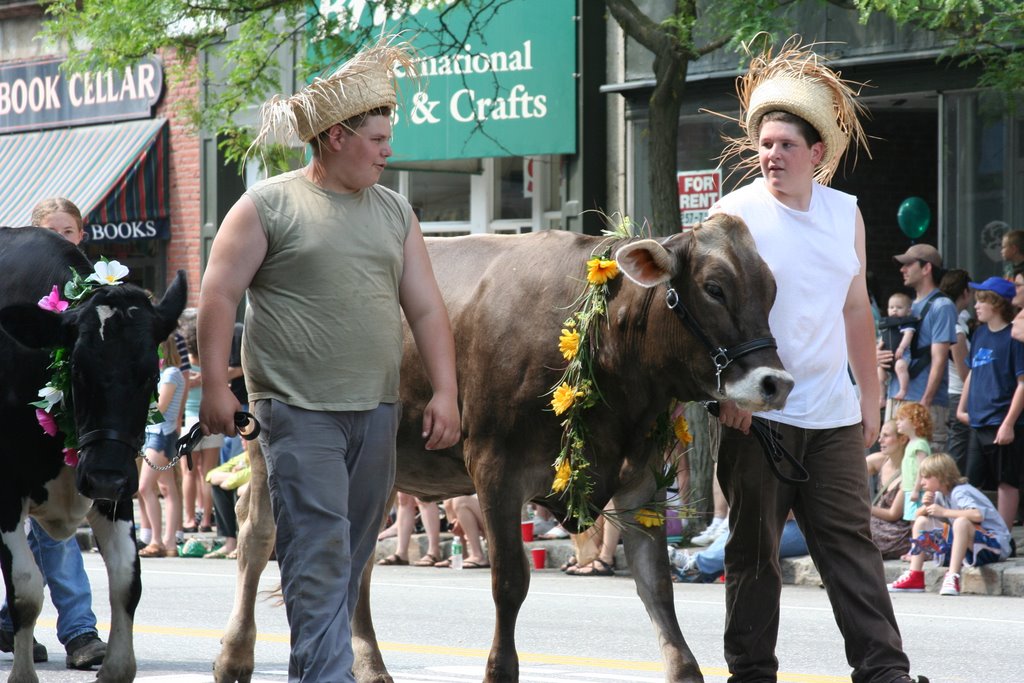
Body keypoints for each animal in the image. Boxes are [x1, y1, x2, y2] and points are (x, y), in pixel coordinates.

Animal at [0, 227, 186, 679]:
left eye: (150, 374)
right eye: (77, 369)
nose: (103, 478)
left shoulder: (118, 481)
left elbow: (126, 578)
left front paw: (115, 666)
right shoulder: (5, 489)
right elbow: (26, 588)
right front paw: (23, 673)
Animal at [211, 215, 794, 683]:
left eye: (771, 290)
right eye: (714, 288)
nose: (776, 383)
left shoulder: (642, 478)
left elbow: (657, 588)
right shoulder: (496, 468)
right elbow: (510, 581)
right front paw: (499, 670)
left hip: (379, 464)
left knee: (358, 554)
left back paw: (370, 666)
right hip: (269, 441)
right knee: (257, 535)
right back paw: (235, 657)